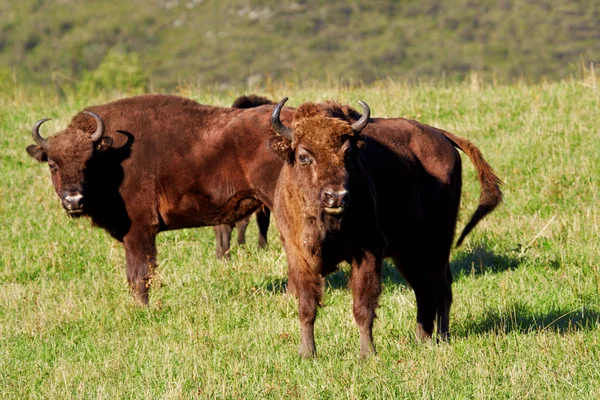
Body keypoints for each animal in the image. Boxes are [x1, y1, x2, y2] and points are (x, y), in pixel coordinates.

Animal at [26, 94, 290, 304]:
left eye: (88, 162)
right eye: (52, 164)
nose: (74, 201)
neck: (113, 159)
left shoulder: (139, 231)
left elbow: (141, 274)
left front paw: (143, 308)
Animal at [268, 97, 502, 356]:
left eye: (348, 153)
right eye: (303, 156)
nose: (336, 196)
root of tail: (441, 136)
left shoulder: (368, 251)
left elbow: (363, 306)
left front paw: (367, 353)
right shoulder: (298, 255)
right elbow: (307, 308)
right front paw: (307, 354)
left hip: (438, 242)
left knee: (441, 287)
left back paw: (442, 337)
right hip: (407, 252)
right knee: (423, 289)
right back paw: (422, 338)